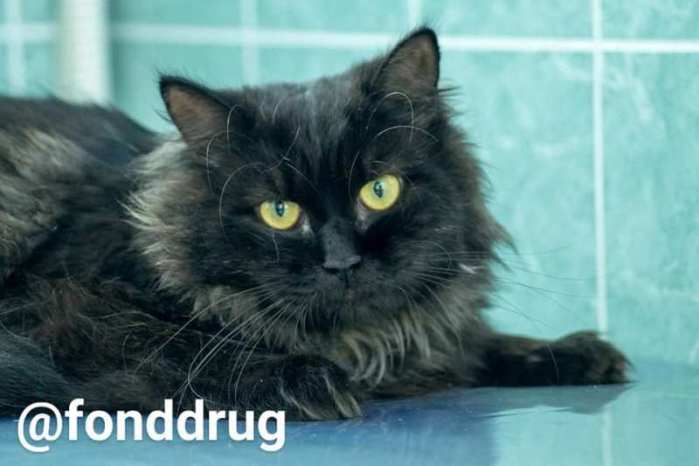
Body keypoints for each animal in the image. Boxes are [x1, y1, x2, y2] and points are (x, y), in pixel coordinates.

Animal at [0, 28, 628, 420]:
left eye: (380, 190)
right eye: (279, 212)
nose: (341, 261)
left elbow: (477, 344)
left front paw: (573, 352)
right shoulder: (62, 303)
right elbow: (181, 346)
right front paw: (303, 380)